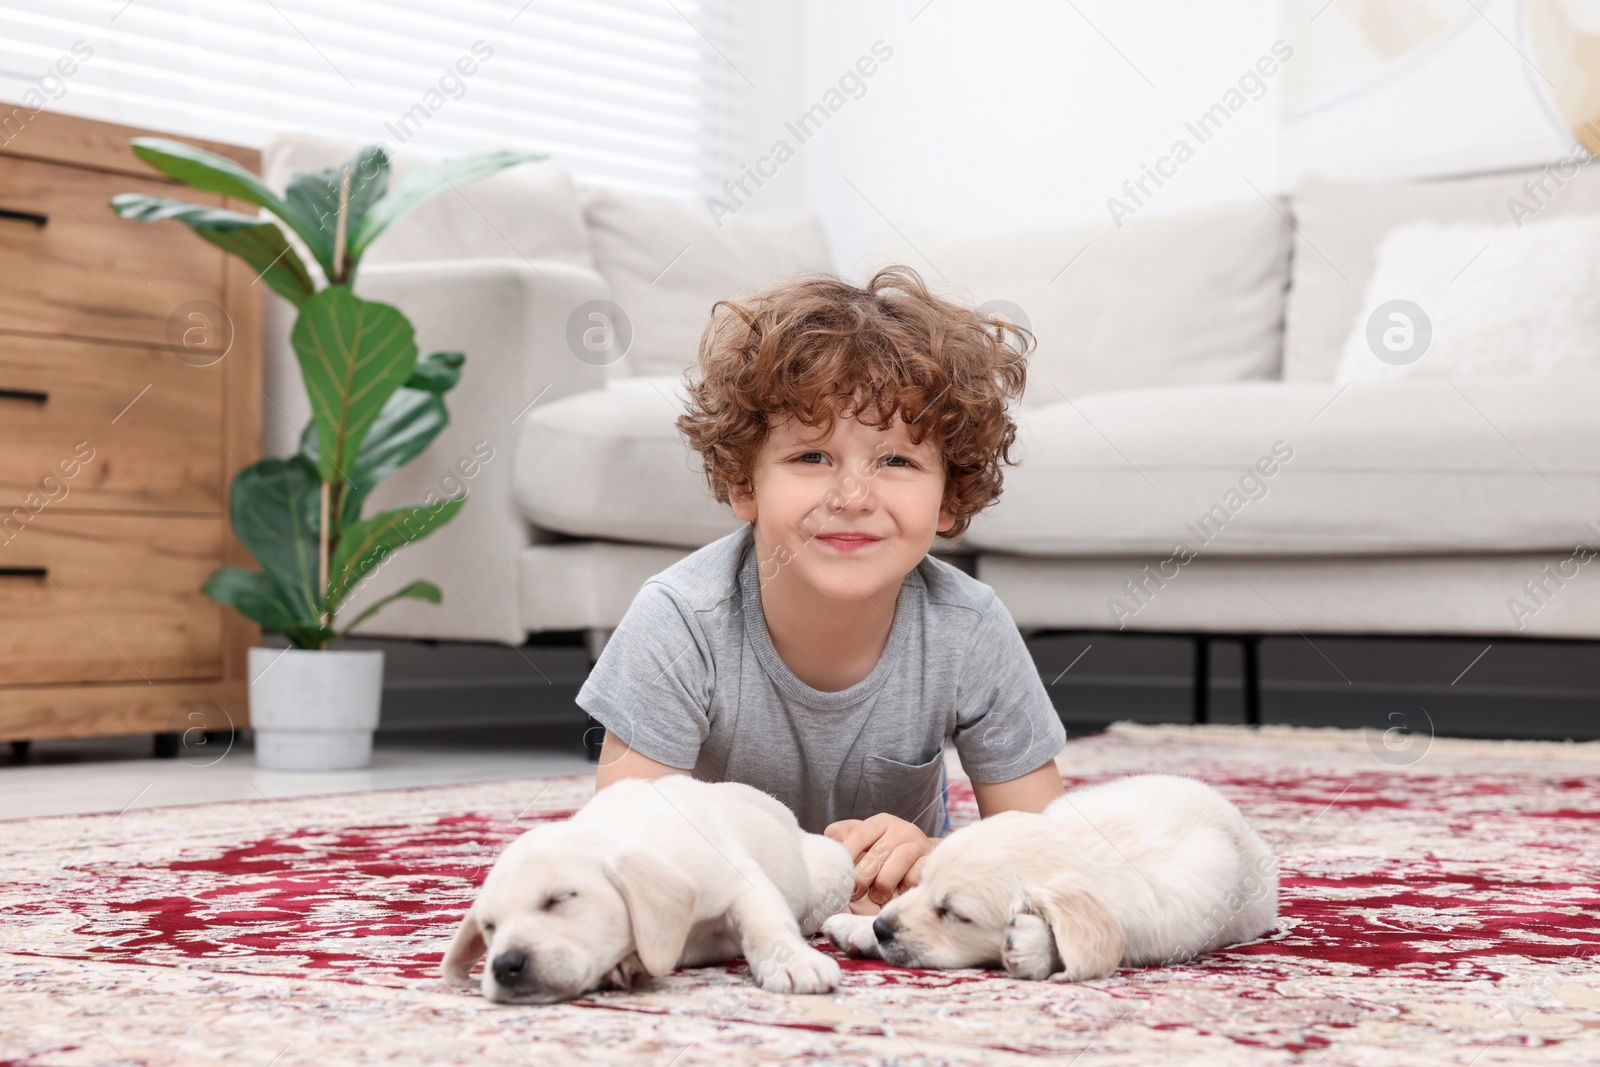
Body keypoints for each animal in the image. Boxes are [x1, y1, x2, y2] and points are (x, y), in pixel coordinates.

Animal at [444, 777, 857, 1004]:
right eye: (489, 927)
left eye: (559, 899)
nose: (504, 966)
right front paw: (625, 964)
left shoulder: (741, 880)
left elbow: (765, 923)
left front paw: (794, 963)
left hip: (832, 867)